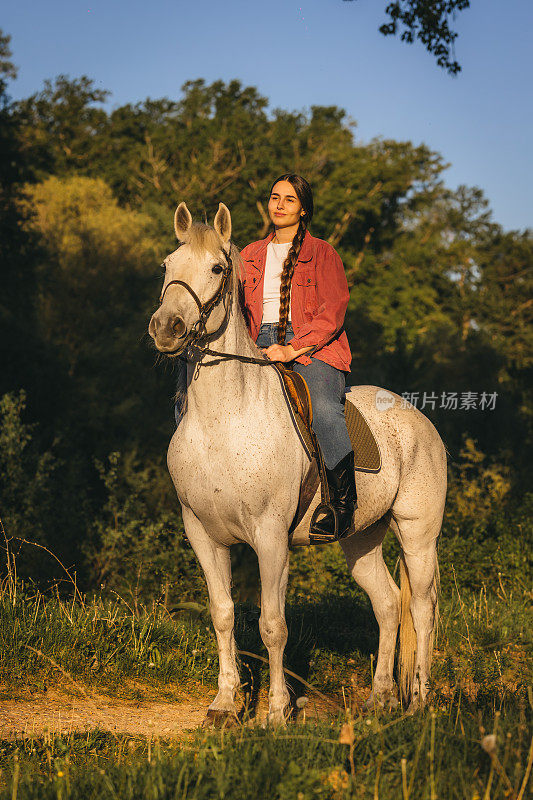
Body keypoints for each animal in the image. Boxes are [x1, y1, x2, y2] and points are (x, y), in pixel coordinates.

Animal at [148, 202, 446, 724]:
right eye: (168, 264)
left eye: (218, 269)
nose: (166, 328)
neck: (224, 420)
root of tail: (418, 418)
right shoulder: (203, 533)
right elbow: (223, 614)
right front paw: (224, 704)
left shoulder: (270, 537)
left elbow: (273, 625)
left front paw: (276, 713)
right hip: (360, 539)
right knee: (389, 605)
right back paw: (380, 699)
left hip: (417, 536)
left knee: (422, 609)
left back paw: (421, 703)